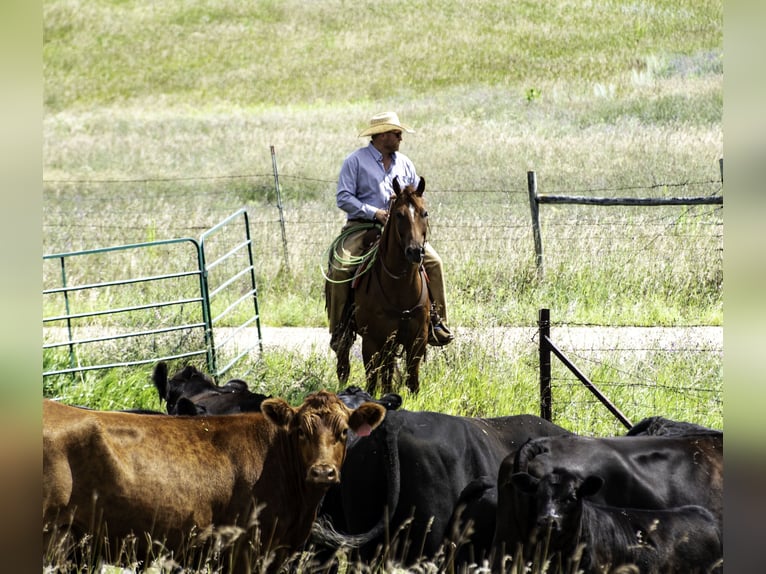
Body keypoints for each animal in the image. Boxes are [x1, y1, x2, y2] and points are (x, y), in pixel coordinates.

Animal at [336, 178, 432, 398]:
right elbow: (371, 379)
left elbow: (413, 380)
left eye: (424, 213)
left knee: (387, 371)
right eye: (399, 214)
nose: (415, 251)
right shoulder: (371, 340)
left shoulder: (418, 338)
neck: (400, 286)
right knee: (345, 360)